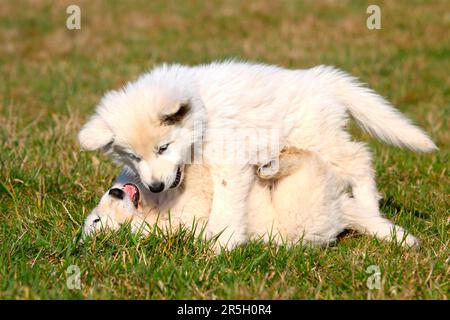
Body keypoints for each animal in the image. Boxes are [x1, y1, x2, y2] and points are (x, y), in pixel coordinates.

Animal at [78, 60, 436, 250]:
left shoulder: (228, 163)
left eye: (162, 148)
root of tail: (319, 77)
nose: (154, 187)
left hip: (317, 136)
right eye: (134, 157)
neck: (205, 115)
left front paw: (220, 244)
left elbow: (226, 205)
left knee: (359, 159)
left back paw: (368, 206)